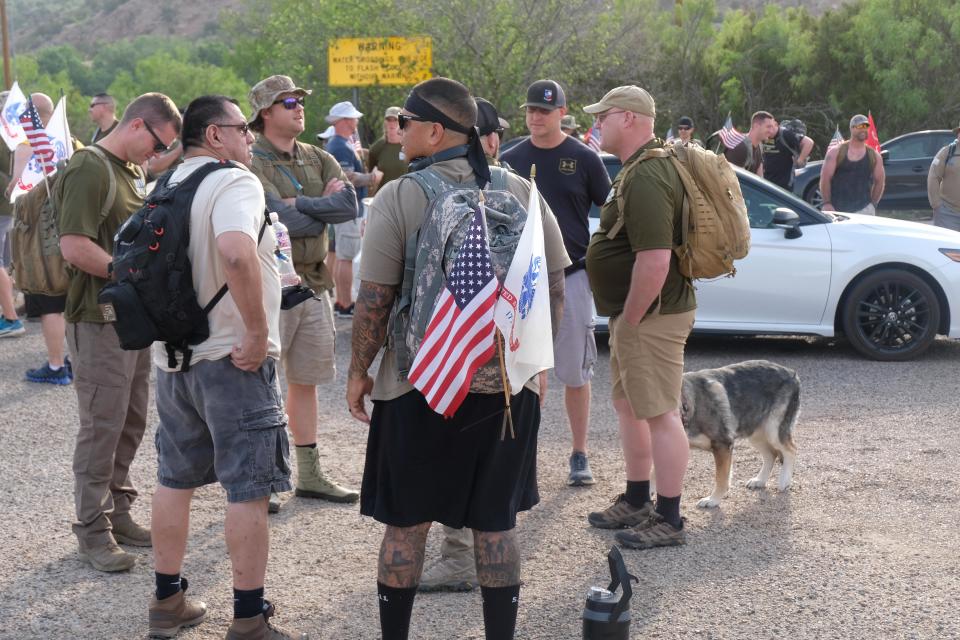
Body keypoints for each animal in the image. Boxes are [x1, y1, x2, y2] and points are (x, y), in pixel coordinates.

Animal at [680, 360, 800, 510]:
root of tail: (791, 372)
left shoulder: (723, 446)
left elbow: (721, 479)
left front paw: (713, 500)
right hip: (755, 433)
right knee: (771, 455)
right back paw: (759, 480)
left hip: (773, 431)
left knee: (791, 450)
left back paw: (784, 481)